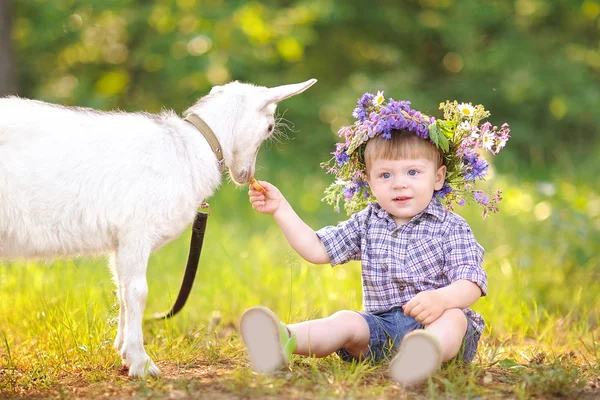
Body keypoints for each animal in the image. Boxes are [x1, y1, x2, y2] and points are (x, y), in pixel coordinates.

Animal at [0, 78, 318, 378]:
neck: (191, 148)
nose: (245, 175)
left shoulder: (121, 241)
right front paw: (141, 363)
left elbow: (122, 291)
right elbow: (137, 292)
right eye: (269, 127)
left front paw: (123, 350)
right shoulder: (136, 231)